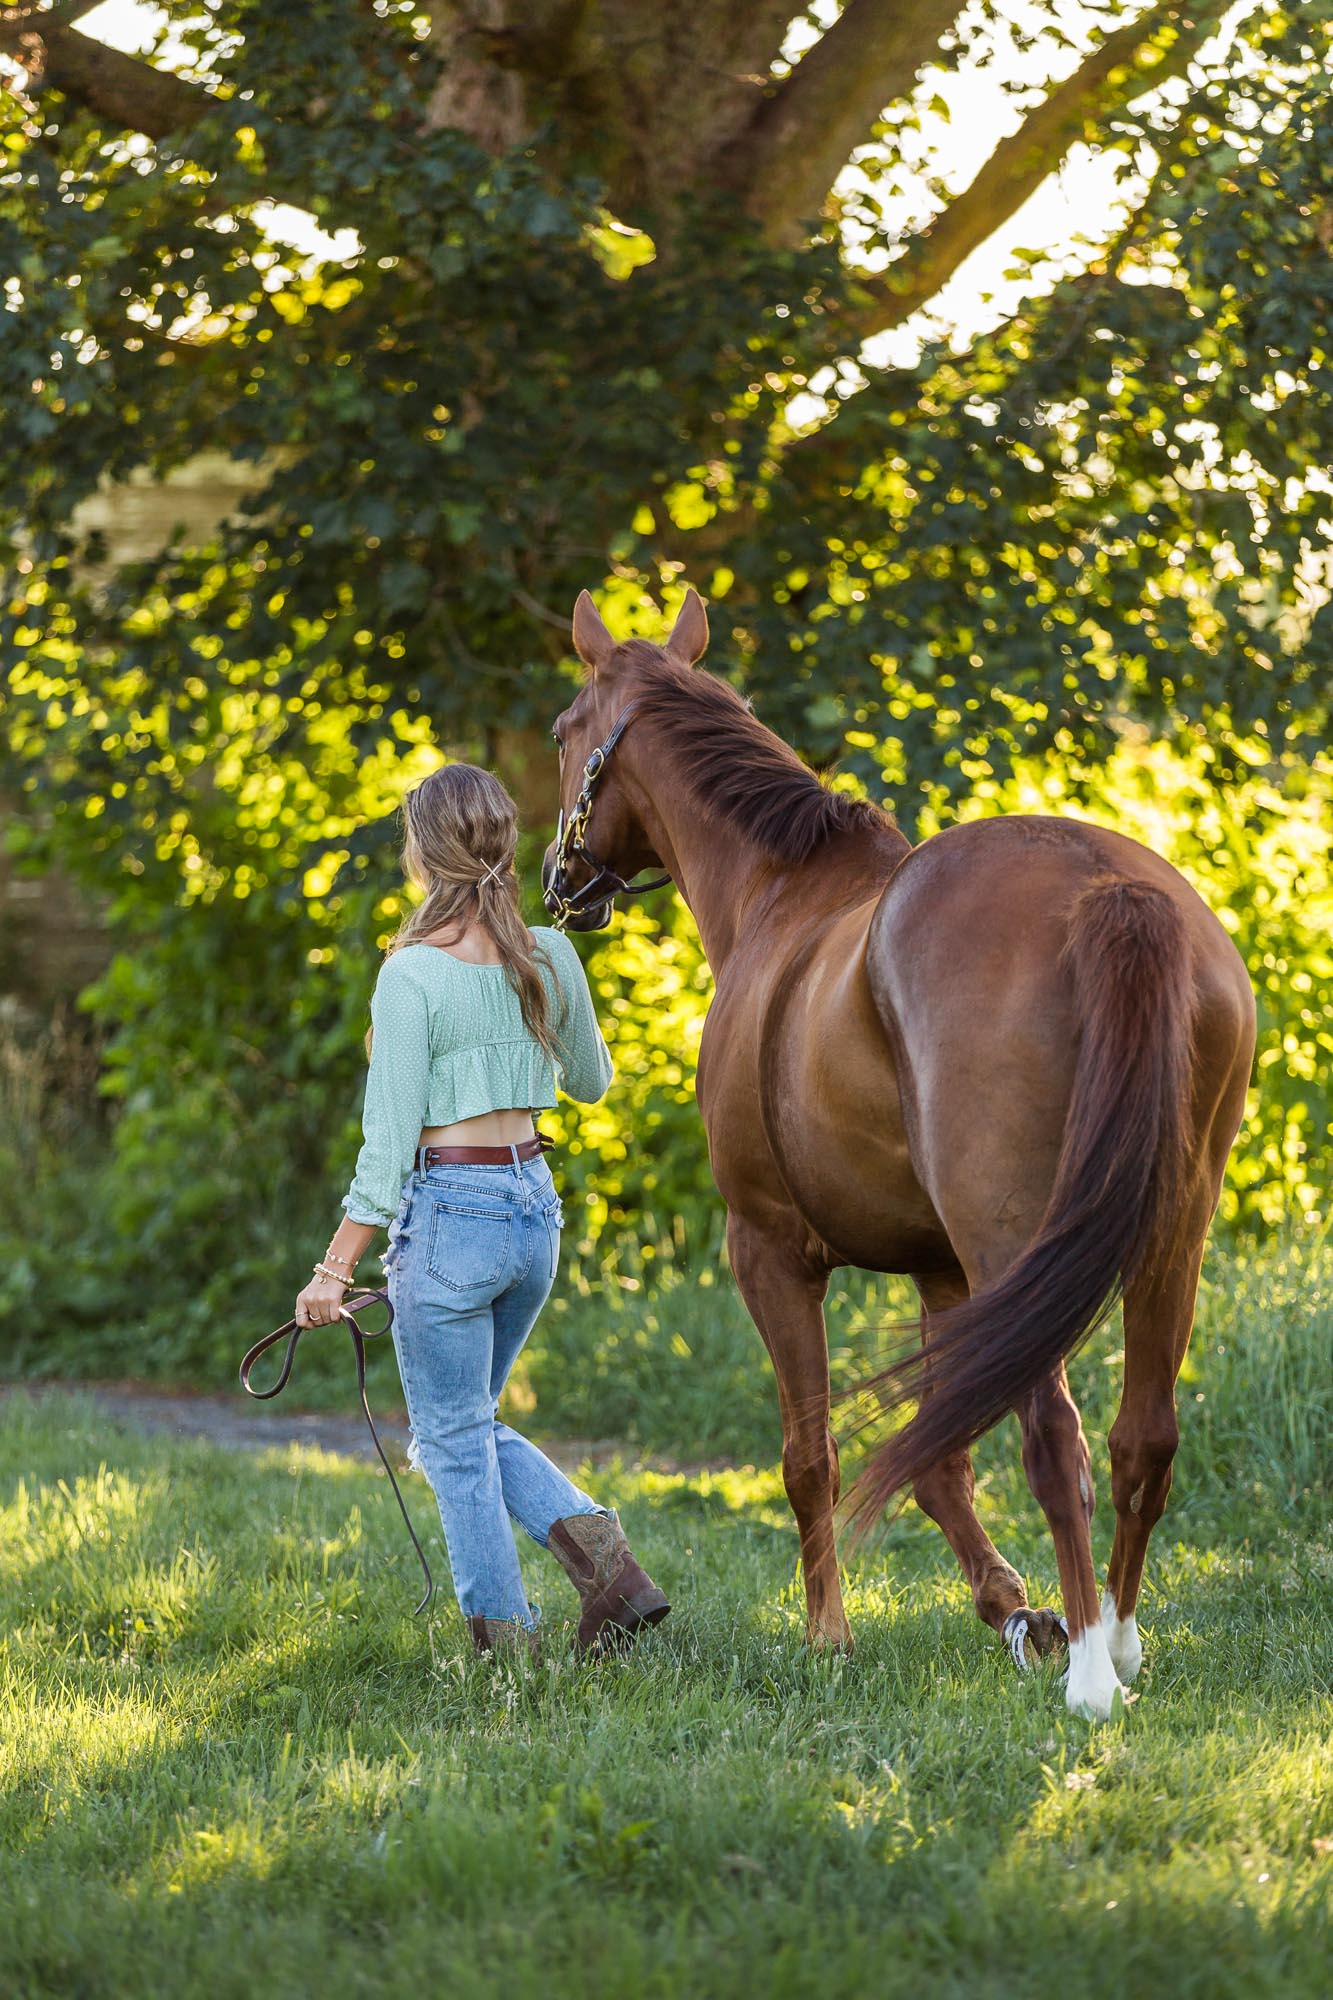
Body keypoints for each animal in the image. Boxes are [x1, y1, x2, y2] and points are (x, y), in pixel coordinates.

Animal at [540, 584, 1248, 1712]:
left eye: (568, 731)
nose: (562, 880)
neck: (781, 894)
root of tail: (1107, 890)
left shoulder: (770, 1252)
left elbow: (812, 1455)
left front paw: (829, 1637)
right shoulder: (940, 1272)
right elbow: (938, 1459)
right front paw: (1014, 1610)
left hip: (1015, 1245)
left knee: (1057, 1440)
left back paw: (1092, 1675)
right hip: (1166, 1241)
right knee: (1143, 1437)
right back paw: (1119, 1639)